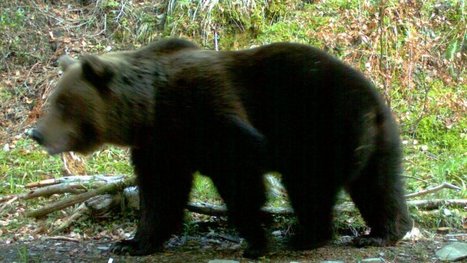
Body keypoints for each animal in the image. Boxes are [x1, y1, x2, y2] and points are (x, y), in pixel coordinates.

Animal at [28, 38, 414, 258]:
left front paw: (256, 240)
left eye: (62, 103)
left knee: (310, 186)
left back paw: (307, 235)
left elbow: (240, 179)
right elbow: (161, 192)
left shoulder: (209, 114)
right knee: (380, 186)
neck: (150, 108)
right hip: (380, 140)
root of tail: (372, 102)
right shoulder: (161, 144)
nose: (36, 133)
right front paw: (132, 243)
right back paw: (382, 233)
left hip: (323, 127)